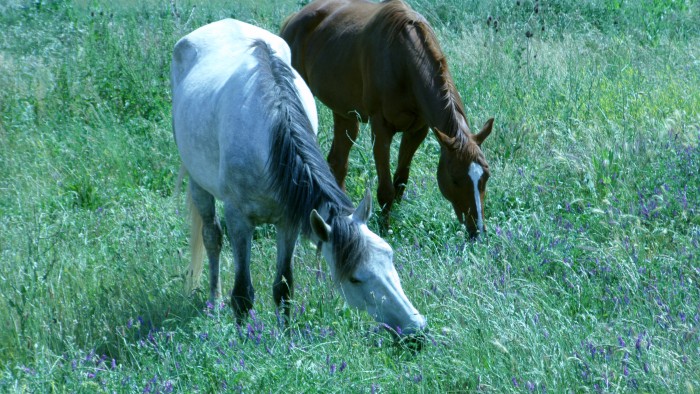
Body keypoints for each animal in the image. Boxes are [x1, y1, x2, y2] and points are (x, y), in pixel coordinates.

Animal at [170, 19, 426, 336]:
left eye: (389, 255)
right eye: (355, 278)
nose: (416, 326)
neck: (270, 141)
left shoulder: (289, 219)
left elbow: (284, 286)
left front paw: (286, 335)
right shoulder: (239, 220)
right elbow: (242, 293)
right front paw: (243, 339)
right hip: (199, 184)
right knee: (211, 237)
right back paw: (213, 302)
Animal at [278, 0, 492, 237]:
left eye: (485, 176)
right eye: (455, 178)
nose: (478, 230)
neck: (402, 60)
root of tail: (293, 20)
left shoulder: (417, 130)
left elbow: (400, 182)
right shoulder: (380, 129)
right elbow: (386, 189)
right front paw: (385, 229)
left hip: (344, 114)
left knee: (337, 161)